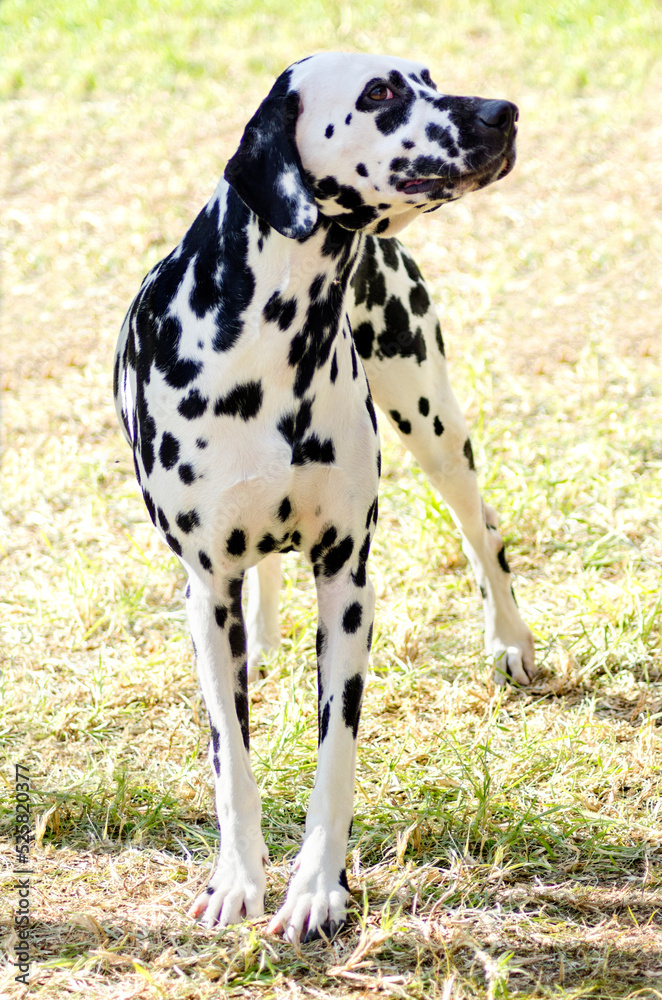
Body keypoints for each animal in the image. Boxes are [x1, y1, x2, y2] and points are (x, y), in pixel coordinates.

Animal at [115, 52, 536, 944]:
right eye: (379, 92)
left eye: (429, 76)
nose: (503, 112)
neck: (272, 347)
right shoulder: (206, 593)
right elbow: (230, 761)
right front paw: (238, 882)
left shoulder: (347, 582)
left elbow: (335, 758)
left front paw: (316, 890)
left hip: (431, 419)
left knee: (480, 528)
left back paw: (510, 641)